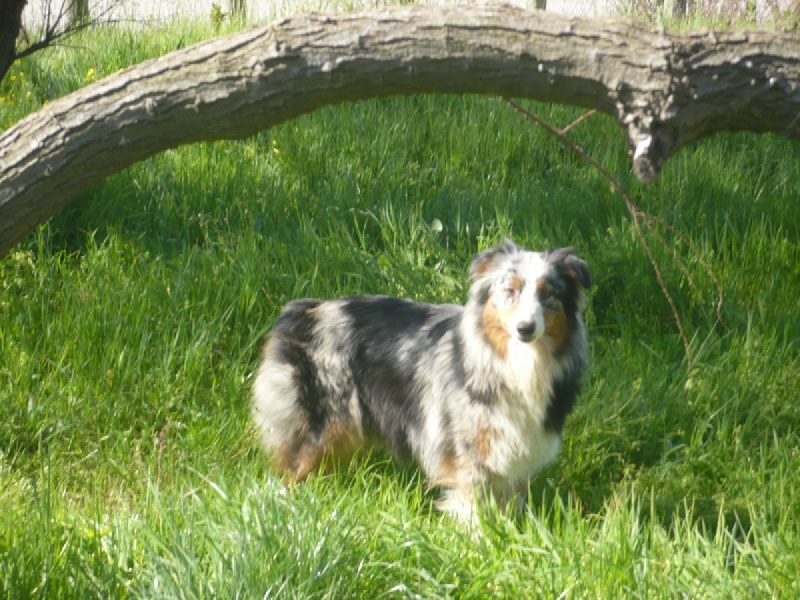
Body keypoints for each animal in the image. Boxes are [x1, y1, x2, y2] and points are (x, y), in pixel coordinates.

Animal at [253, 239, 592, 520]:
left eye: (549, 295)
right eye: (510, 291)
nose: (525, 328)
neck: (518, 363)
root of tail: (302, 311)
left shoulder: (518, 451)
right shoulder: (469, 452)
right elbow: (475, 508)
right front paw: (478, 542)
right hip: (318, 420)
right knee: (289, 468)